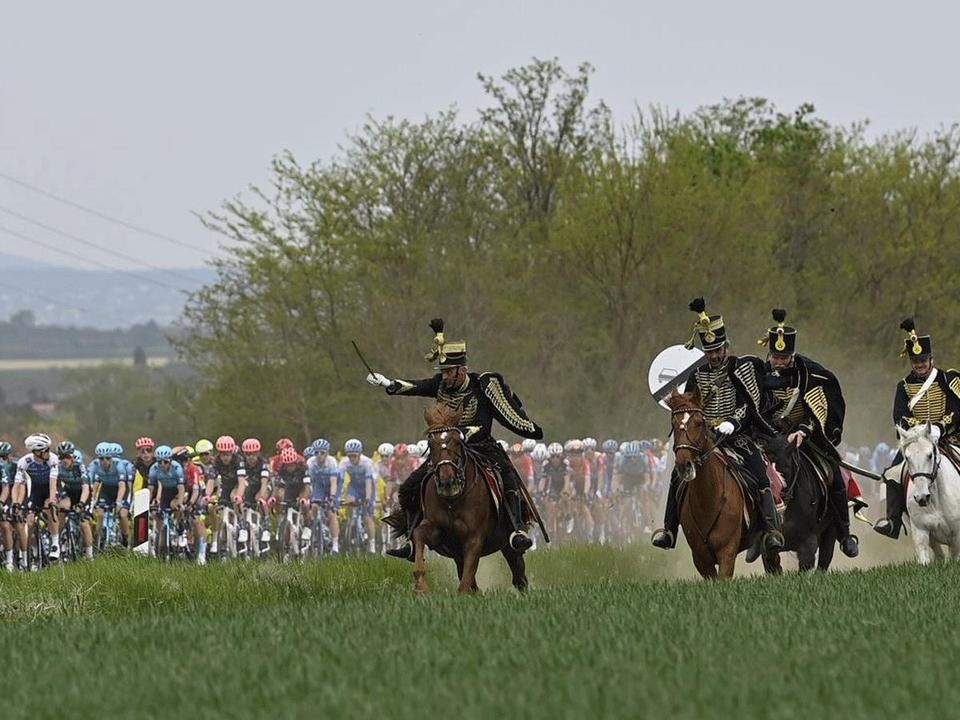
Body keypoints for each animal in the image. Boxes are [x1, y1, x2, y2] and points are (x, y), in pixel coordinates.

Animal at [408, 404, 528, 596]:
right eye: (430, 444)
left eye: (458, 442)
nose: (447, 481)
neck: (453, 501)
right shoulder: (437, 531)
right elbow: (419, 534)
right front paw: (420, 586)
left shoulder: (474, 539)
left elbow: (466, 580)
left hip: (509, 545)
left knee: (518, 574)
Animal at [668, 388, 764, 580]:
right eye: (673, 424)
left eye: (699, 422)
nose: (684, 466)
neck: (708, 500)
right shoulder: (701, 559)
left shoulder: (727, 553)